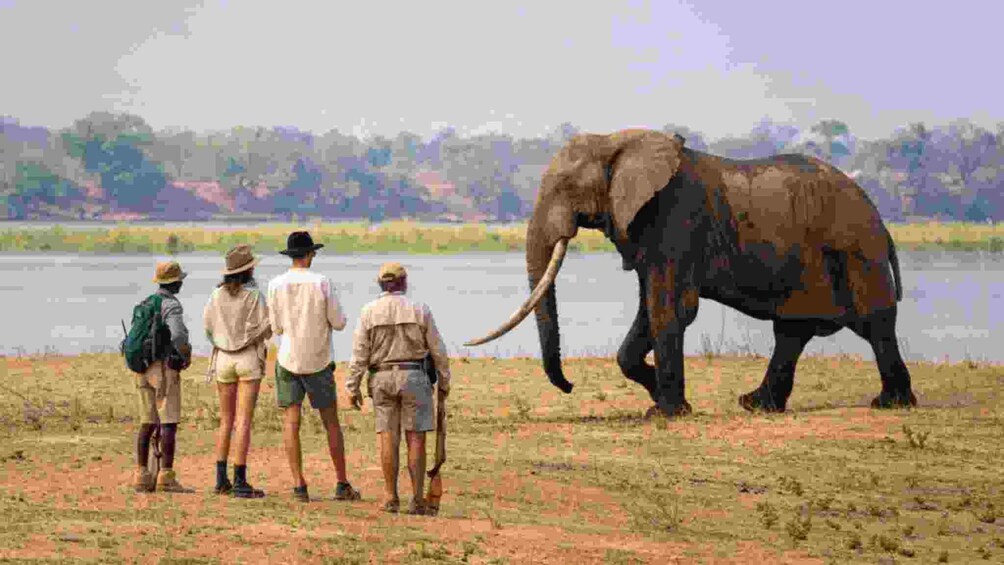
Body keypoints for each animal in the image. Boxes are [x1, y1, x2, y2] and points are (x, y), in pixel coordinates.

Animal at [464, 128, 917, 417]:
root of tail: (881, 221)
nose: (571, 387)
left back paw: (891, 404)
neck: (616, 140)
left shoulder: (674, 220)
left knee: (875, 325)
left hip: (857, 254)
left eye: (566, 187)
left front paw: (665, 411)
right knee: (792, 331)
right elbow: (649, 307)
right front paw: (659, 397)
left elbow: (669, 307)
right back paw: (756, 404)